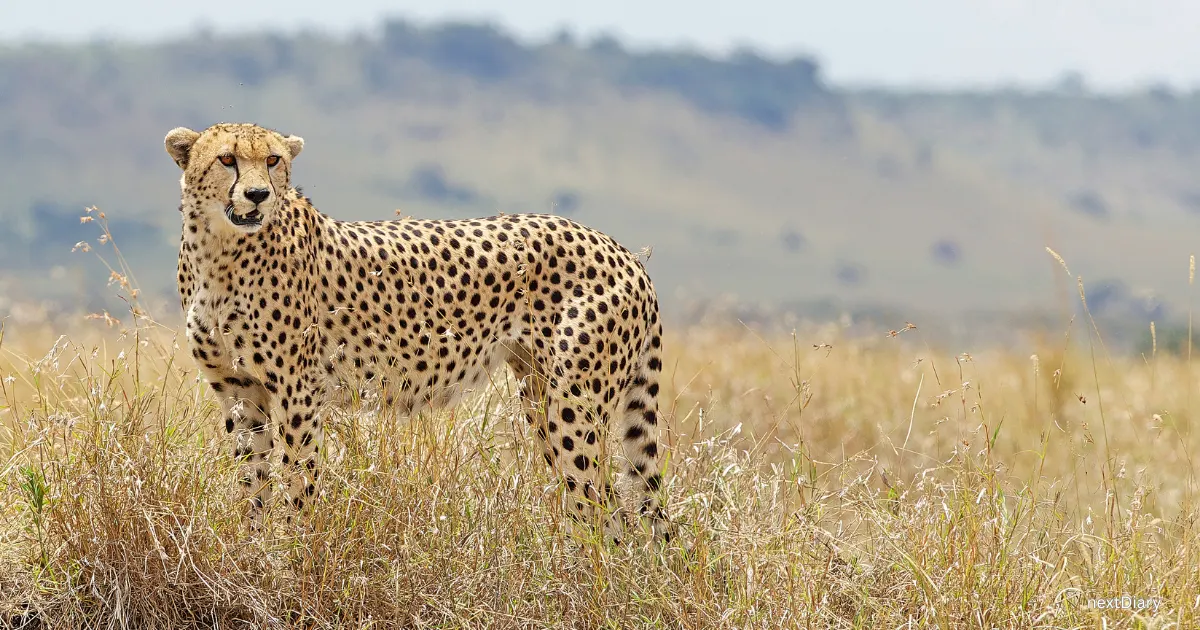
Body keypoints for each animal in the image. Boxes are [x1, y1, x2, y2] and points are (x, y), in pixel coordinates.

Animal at [165, 122, 668, 543]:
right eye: (227, 159)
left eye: (272, 160)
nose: (257, 195)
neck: (219, 251)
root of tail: (623, 251)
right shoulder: (239, 389)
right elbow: (253, 480)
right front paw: (251, 547)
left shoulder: (298, 389)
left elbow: (297, 477)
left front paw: (289, 553)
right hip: (540, 392)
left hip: (574, 403)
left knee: (606, 508)